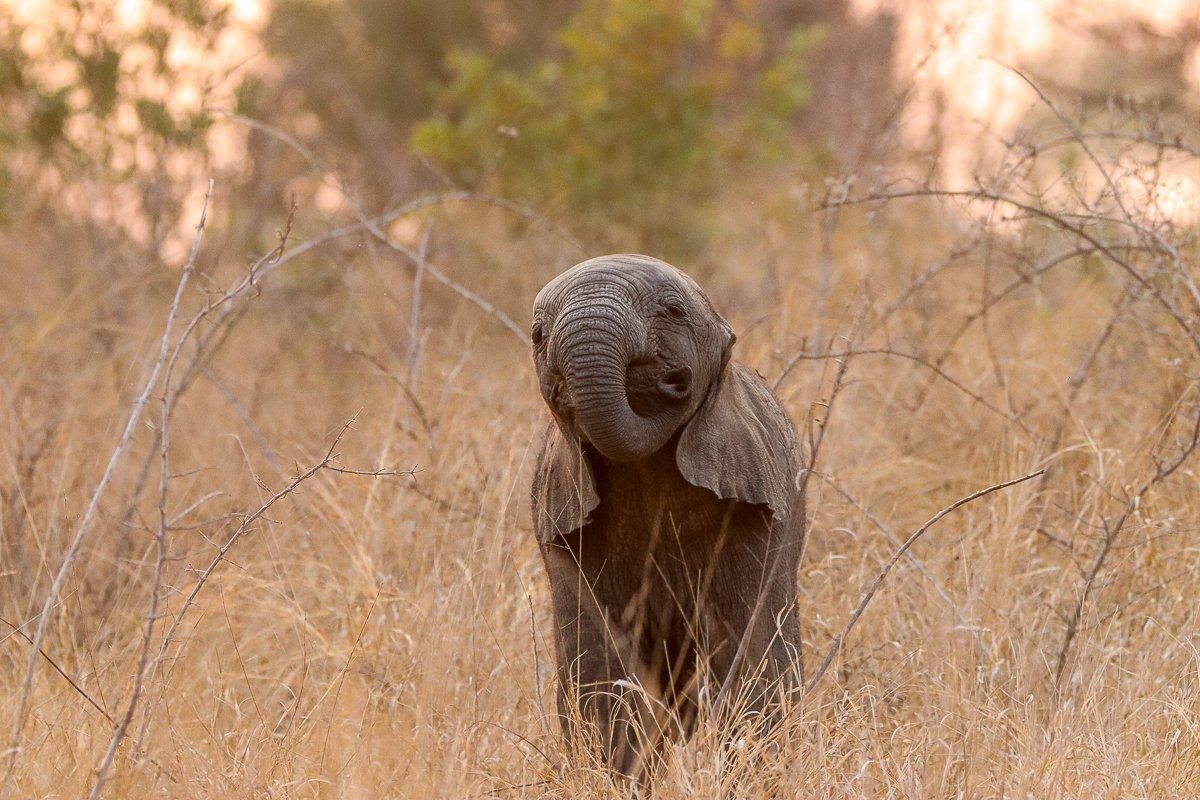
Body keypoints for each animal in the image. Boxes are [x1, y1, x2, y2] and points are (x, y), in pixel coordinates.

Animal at [529, 253, 805, 777]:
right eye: (537, 334)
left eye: (673, 311)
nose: (670, 381)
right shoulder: (559, 523)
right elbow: (594, 662)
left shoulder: (759, 503)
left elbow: (751, 650)